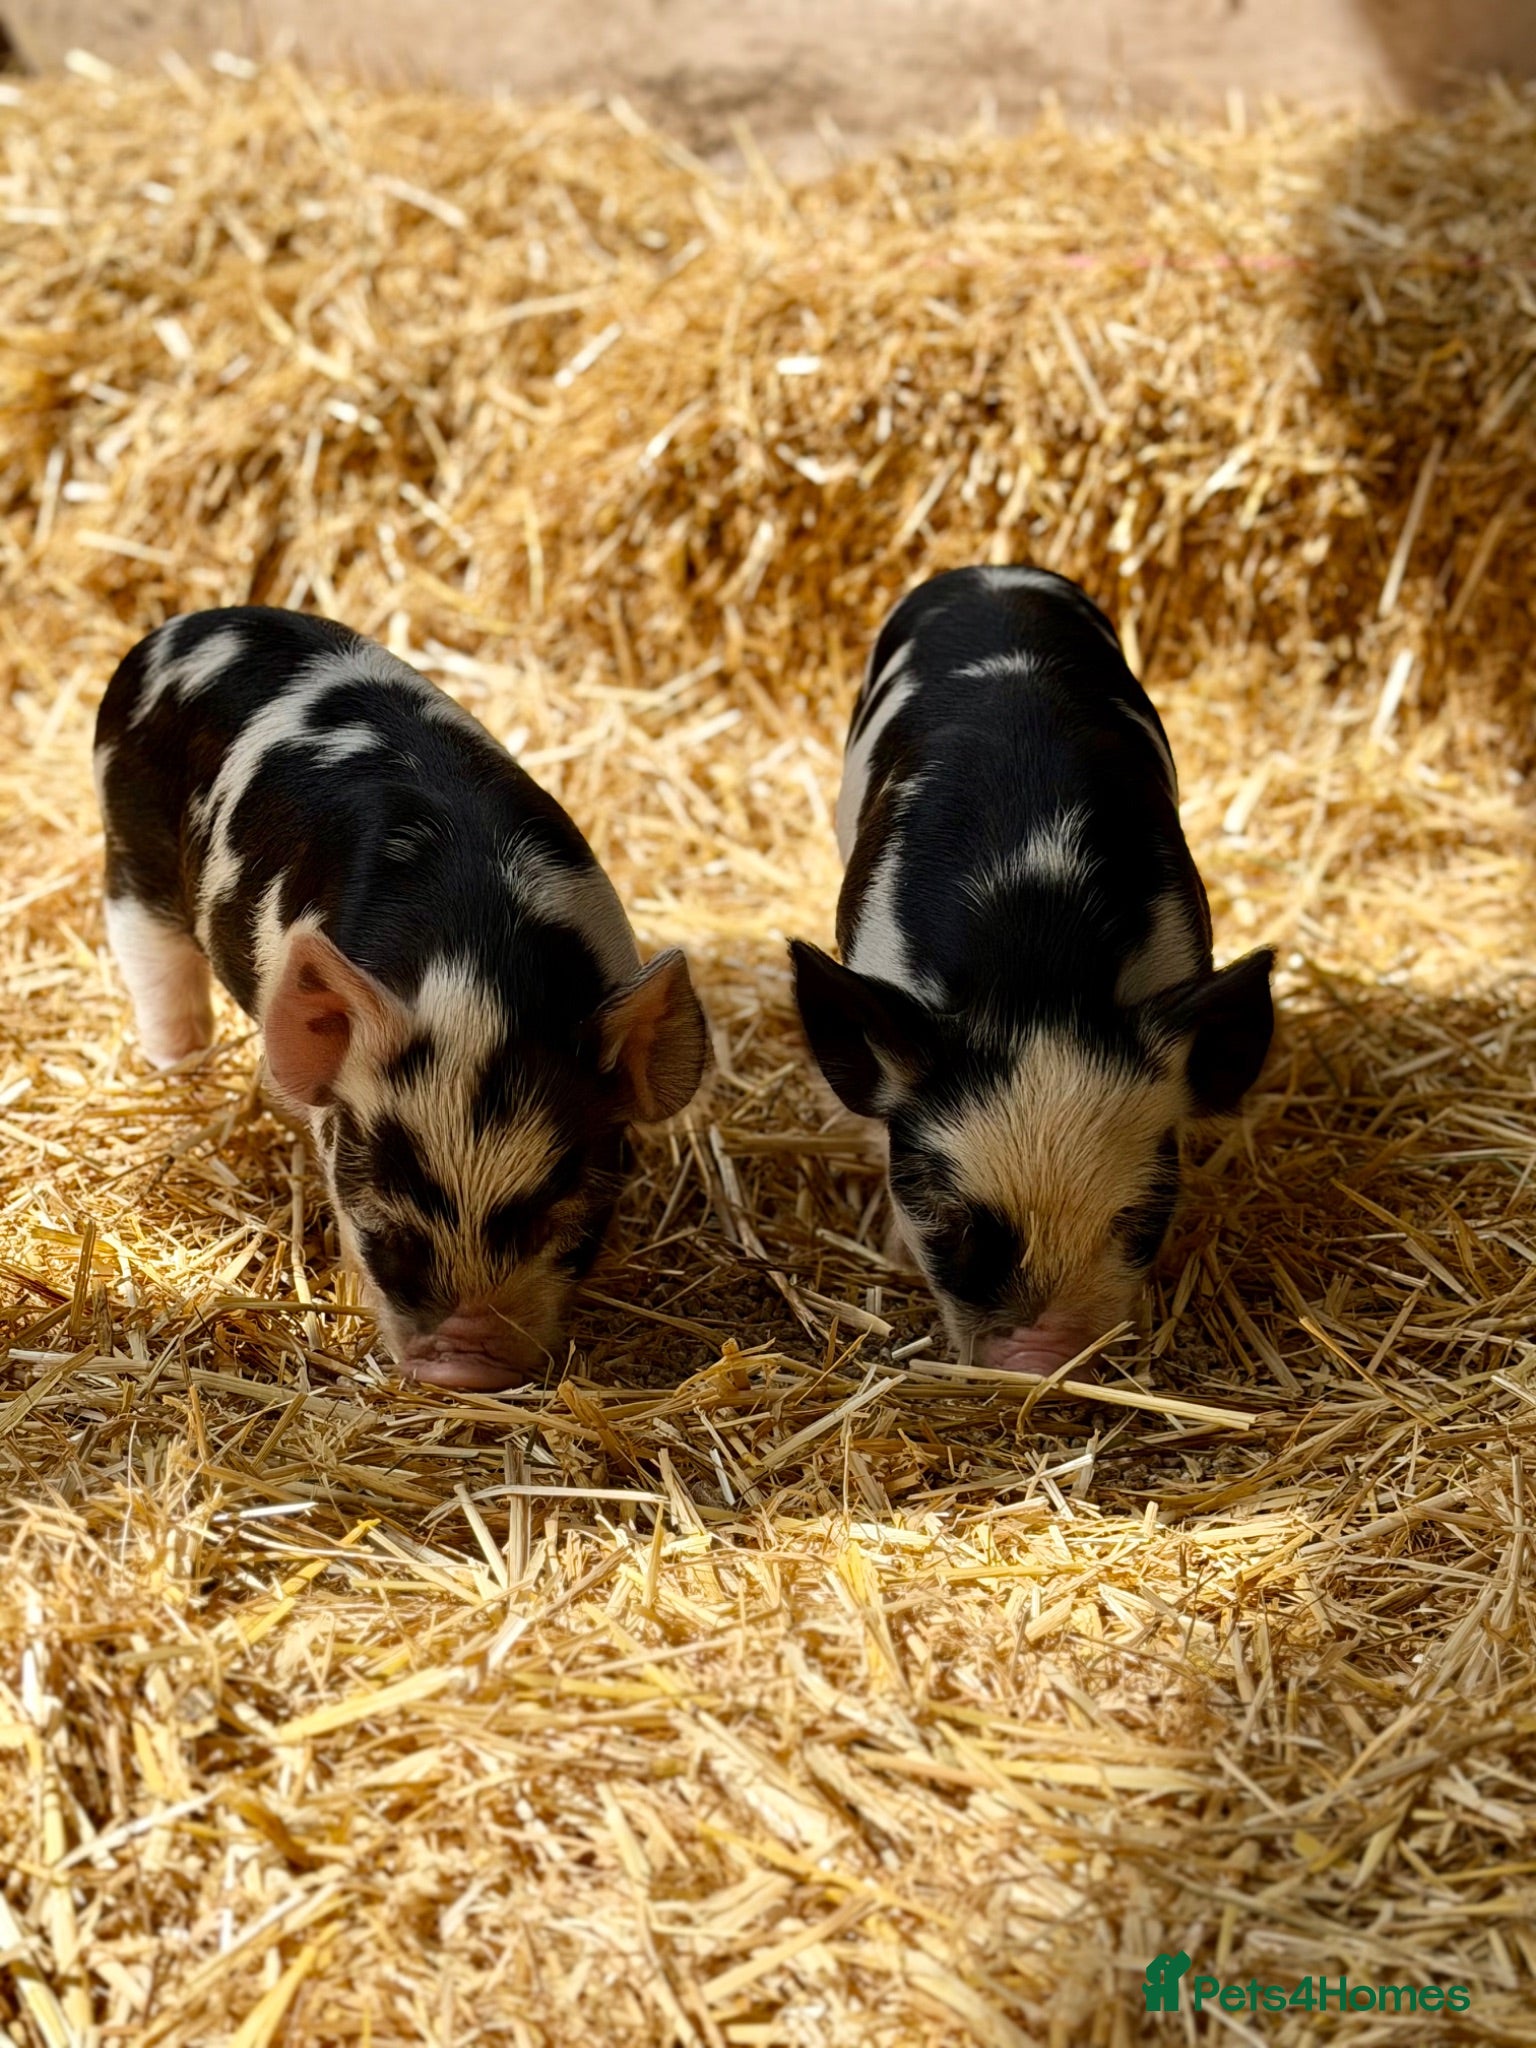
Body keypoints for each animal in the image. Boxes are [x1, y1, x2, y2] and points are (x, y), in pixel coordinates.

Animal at [94, 606, 709, 1390]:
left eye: (567, 1222)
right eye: (382, 1230)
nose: (466, 1368)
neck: (478, 968)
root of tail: (182, 627)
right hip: (131, 850)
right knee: (154, 964)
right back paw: (181, 1075)